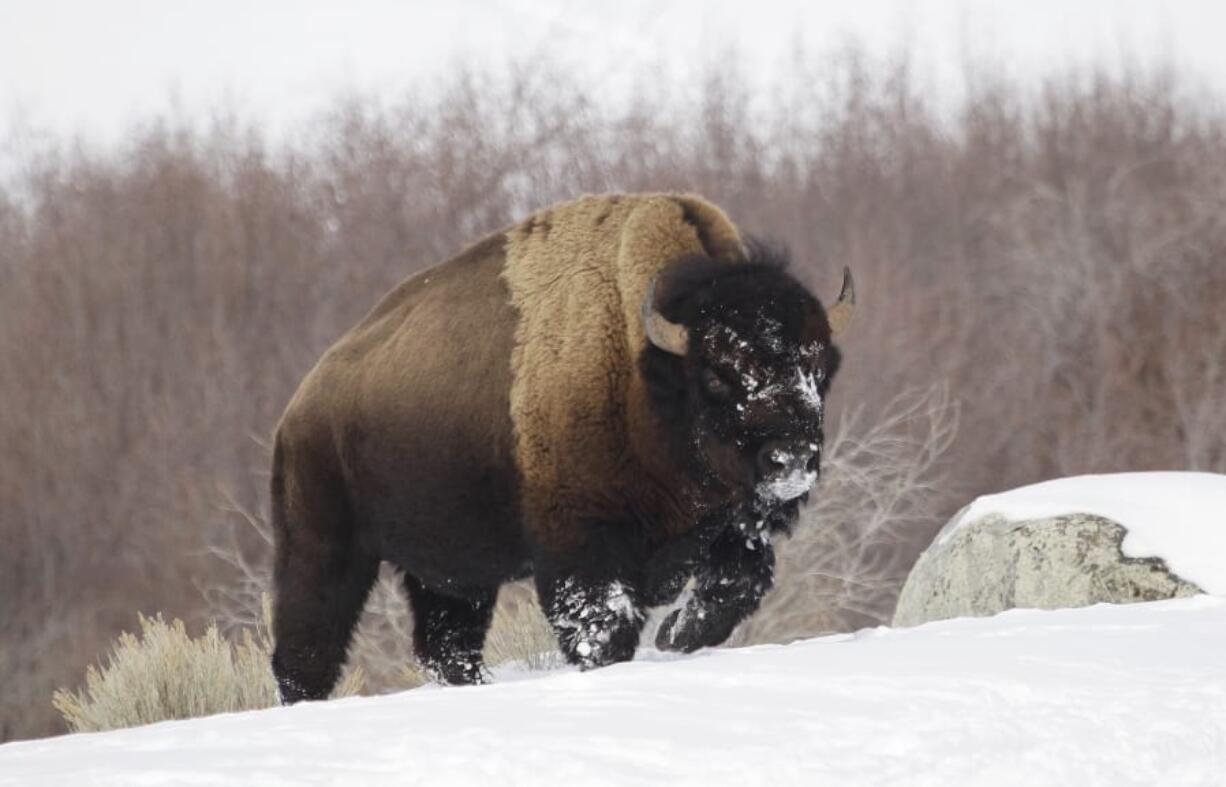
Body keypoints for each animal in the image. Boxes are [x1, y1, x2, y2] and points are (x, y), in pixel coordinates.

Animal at [274, 191, 858, 696]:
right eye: (717, 374)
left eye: (817, 368)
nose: (790, 459)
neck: (646, 377)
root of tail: (299, 407)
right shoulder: (583, 548)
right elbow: (604, 627)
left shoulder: (731, 529)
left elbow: (737, 585)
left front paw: (674, 636)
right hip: (323, 549)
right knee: (306, 648)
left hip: (448, 575)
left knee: (445, 645)